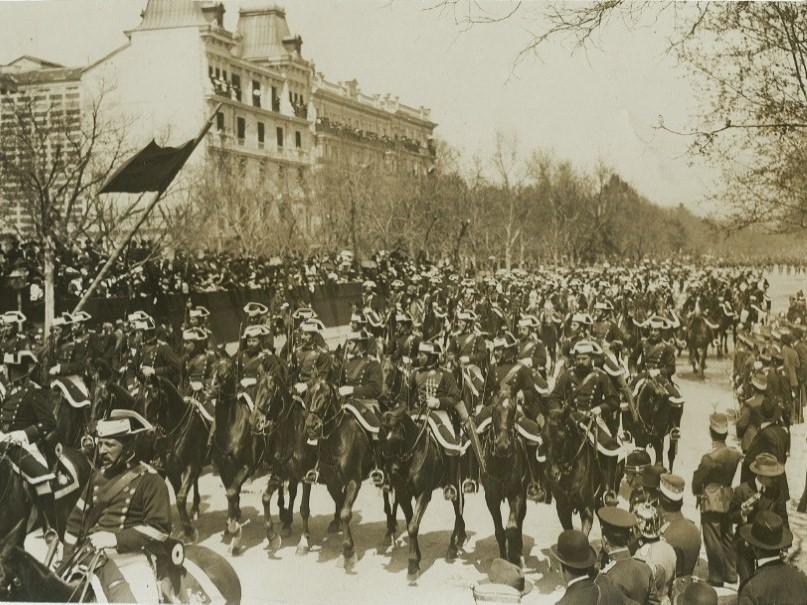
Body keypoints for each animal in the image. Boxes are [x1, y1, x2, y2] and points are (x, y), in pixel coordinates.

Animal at [143, 378, 211, 536]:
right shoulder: (171, 470)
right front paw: (186, 526)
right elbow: (179, 494)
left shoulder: (190, 465)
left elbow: (180, 497)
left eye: (154, 396)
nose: (149, 432)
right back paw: (195, 507)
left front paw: (189, 531)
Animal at [306, 376, 376, 568]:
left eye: (326, 395)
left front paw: (348, 550)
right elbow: (341, 502)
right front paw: (336, 524)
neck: (336, 438)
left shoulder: (354, 481)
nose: (311, 425)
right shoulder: (332, 481)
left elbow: (346, 512)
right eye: (309, 393)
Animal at [378, 404, 468, 580]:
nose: (391, 470)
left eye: (398, 437)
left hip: (455, 481)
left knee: (458, 508)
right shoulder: (403, 496)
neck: (412, 458)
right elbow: (410, 524)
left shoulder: (424, 494)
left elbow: (413, 526)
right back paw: (460, 537)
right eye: (381, 437)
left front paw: (413, 565)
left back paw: (452, 547)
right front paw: (415, 559)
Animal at [480, 390, 532, 564]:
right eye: (494, 410)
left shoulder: (516, 493)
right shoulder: (491, 498)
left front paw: (514, 557)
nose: (502, 445)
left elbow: (511, 529)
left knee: (520, 519)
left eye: (513, 410)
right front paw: (503, 558)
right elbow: (500, 532)